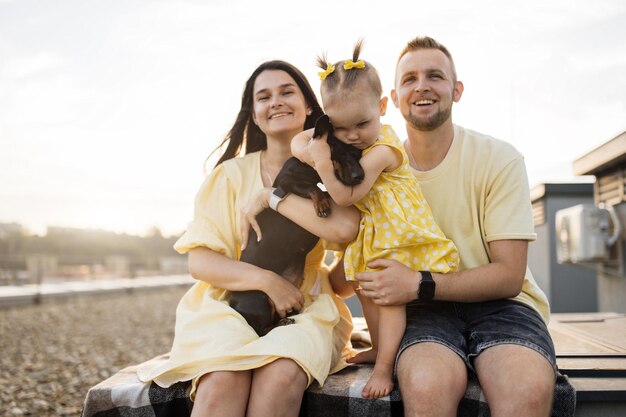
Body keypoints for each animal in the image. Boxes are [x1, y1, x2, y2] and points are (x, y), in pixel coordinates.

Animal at [228, 114, 364, 334]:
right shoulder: (288, 182)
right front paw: (322, 204)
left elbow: (324, 190)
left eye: (358, 153)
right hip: (261, 298)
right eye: (338, 154)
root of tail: (233, 304)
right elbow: (314, 189)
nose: (359, 177)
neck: (309, 167)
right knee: (260, 330)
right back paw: (282, 323)